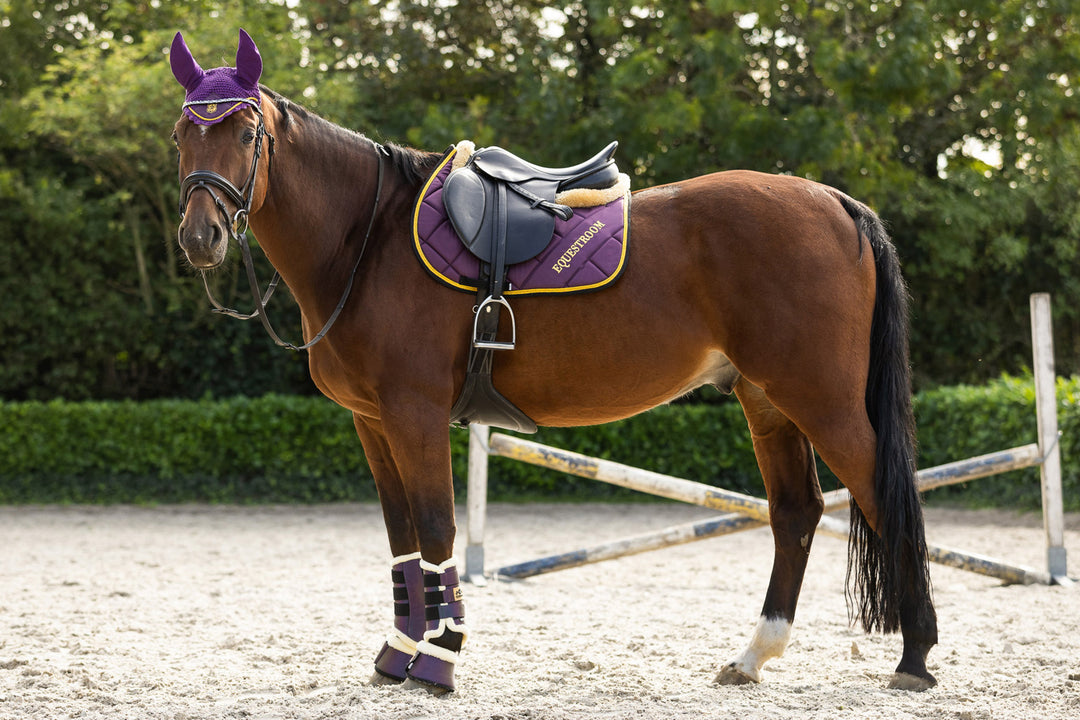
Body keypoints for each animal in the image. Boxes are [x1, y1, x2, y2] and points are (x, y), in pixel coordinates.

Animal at [168, 31, 937, 695]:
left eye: (246, 133)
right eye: (182, 134)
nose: (202, 236)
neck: (369, 239)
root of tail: (835, 202)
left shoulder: (415, 414)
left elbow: (438, 528)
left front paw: (441, 659)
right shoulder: (373, 422)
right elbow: (403, 541)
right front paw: (399, 652)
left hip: (822, 401)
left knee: (886, 495)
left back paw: (916, 657)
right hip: (767, 401)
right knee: (796, 512)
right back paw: (755, 656)